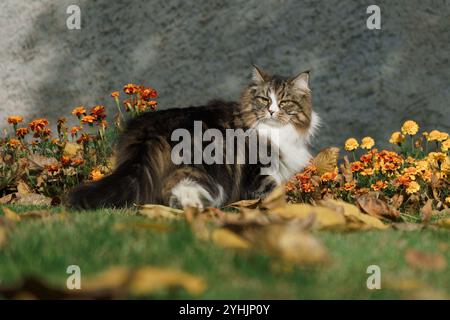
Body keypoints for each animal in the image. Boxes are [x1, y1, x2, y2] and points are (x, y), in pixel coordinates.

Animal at [67, 65, 320, 210]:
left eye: (285, 102)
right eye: (265, 100)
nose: (272, 111)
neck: (276, 131)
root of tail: (150, 127)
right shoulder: (258, 171)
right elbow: (274, 191)